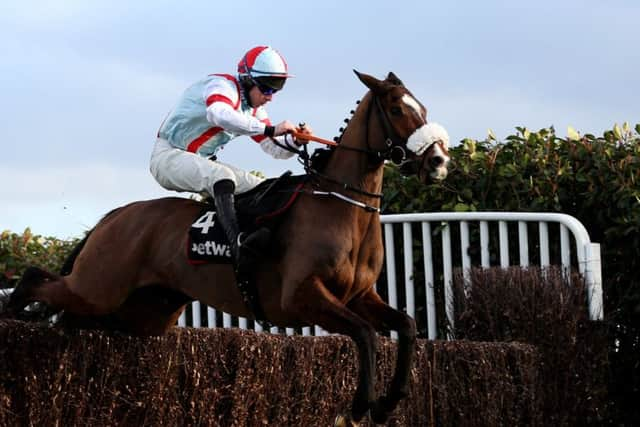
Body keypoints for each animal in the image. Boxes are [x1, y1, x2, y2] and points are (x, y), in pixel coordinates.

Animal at [7, 71, 452, 427]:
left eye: (423, 107)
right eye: (396, 109)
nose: (438, 161)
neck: (339, 205)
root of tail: (114, 216)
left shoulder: (359, 296)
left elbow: (405, 326)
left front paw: (388, 402)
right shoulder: (301, 297)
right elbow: (365, 335)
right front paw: (358, 407)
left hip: (141, 312)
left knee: (72, 317)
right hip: (99, 287)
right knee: (37, 279)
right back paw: (10, 311)